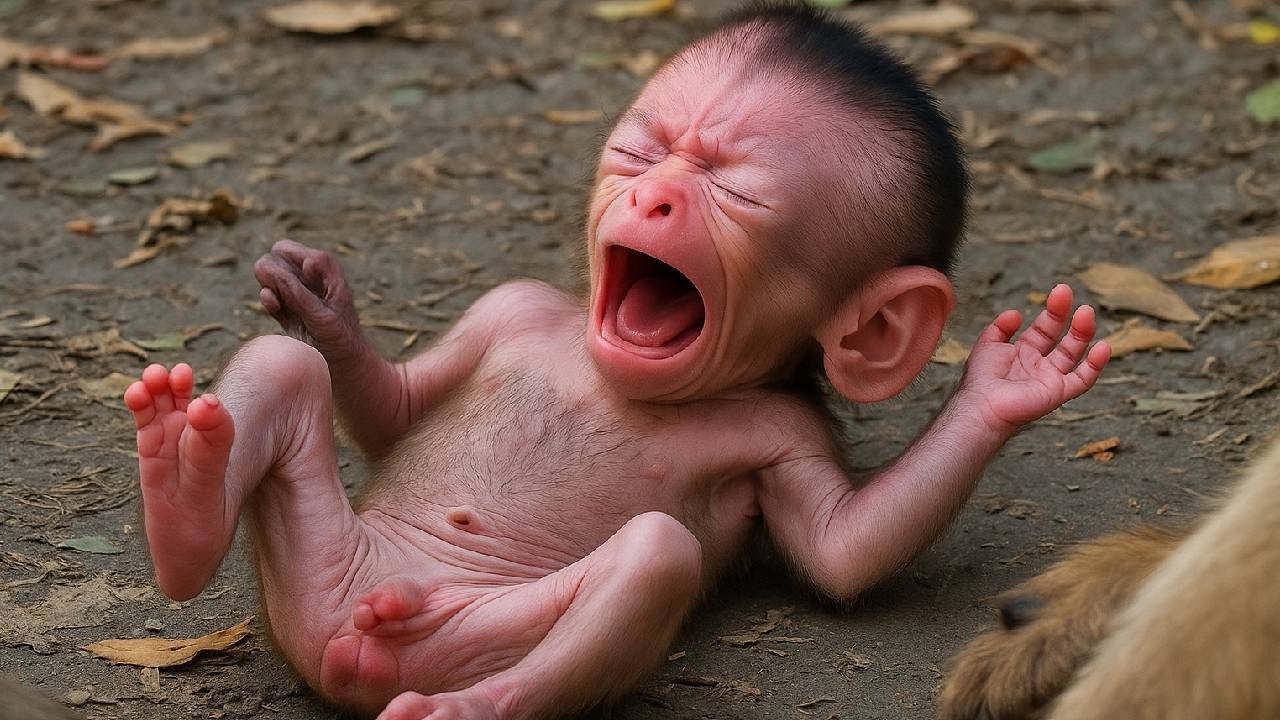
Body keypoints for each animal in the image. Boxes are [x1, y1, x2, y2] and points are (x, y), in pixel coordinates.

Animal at [123, 4, 1110, 719]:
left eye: (737, 192)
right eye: (643, 150)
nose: (658, 198)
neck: (607, 367)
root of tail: (345, 646)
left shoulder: (789, 435)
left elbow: (843, 551)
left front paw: (1007, 384)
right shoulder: (508, 305)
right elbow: (393, 409)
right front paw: (320, 301)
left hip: (475, 632)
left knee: (652, 557)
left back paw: (468, 703)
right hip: (310, 582)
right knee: (281, 368)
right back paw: (183, 490)